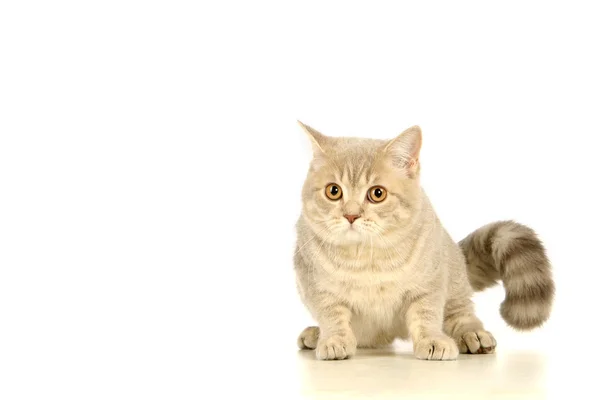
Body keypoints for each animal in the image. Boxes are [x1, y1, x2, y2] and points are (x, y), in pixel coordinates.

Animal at [292, 121, 556, 360]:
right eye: (333, 191)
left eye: (377, 194)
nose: (351, 215)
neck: (367, 257)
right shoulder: (315, 285)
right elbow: (332, 315)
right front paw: (334, 339)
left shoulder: (429, 282)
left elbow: (426, 315)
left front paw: (432, 340)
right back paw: (316, 334)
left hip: (454, 277)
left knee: (460, 312)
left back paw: (472, 334)